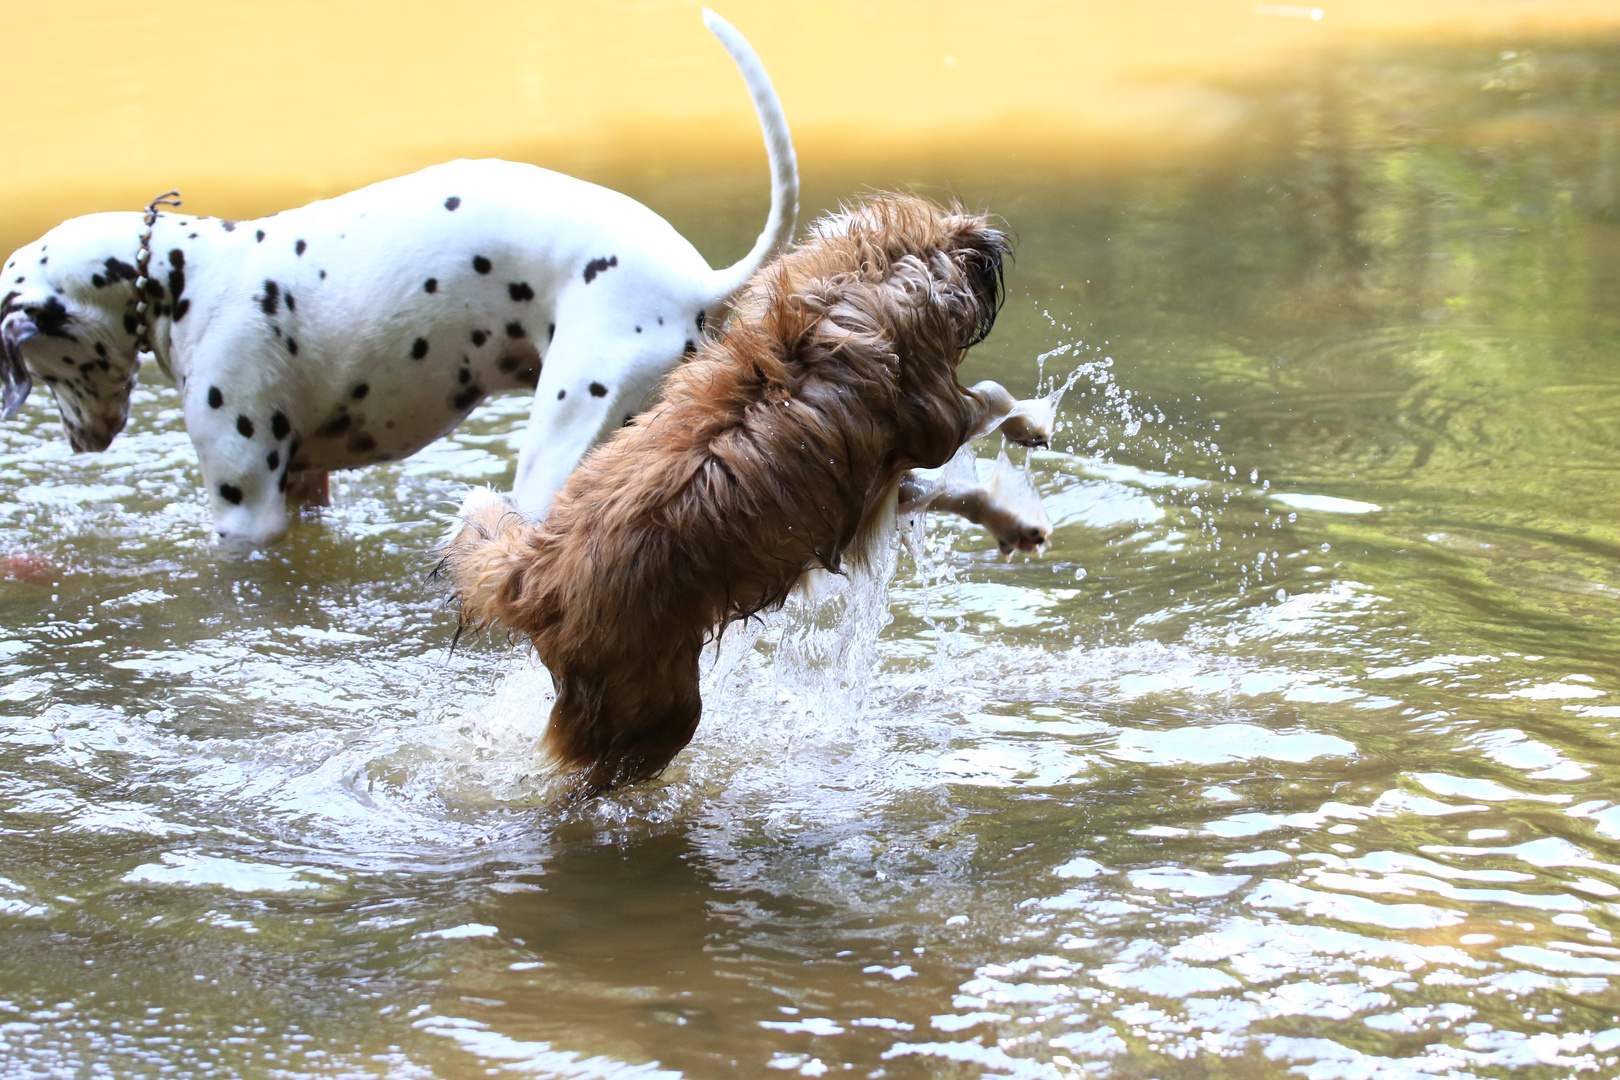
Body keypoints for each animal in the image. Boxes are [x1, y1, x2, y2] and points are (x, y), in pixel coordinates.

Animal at [0, 9, 797, 550]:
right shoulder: (303, 486)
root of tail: (693, 278)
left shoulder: (246, 511)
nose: (79, 443)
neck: (186, 276)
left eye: (37, 364)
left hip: (556, 451)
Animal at [443, 194, 1049, 799]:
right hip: (655, 714)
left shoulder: (868, 495)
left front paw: (1014, 520)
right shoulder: (926, 428)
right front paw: (1031, 425)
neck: (837, 304)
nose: (992, 237)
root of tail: (531, 570)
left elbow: (953, 488)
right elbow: (991, 400)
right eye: (946, 236)